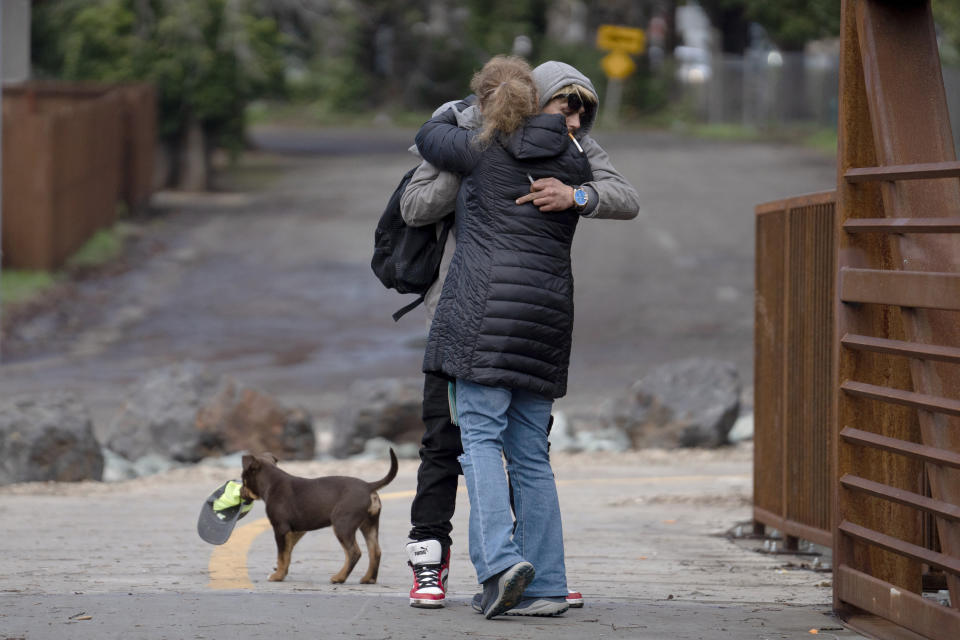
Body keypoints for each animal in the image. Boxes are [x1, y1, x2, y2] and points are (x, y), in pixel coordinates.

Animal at [240, 448, 398, 584]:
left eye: (243, 480)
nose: (240, 493)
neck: (271, 483)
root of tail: (369, 486)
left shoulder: (280, 528)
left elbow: (282, 555)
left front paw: (277, 576)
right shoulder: (297, 530)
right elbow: (288, 553)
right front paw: (282, 572)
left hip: (342, 525)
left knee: (354, 552)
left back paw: (339, 578)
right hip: (369, 524)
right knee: (375, 551)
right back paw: (368, 579)